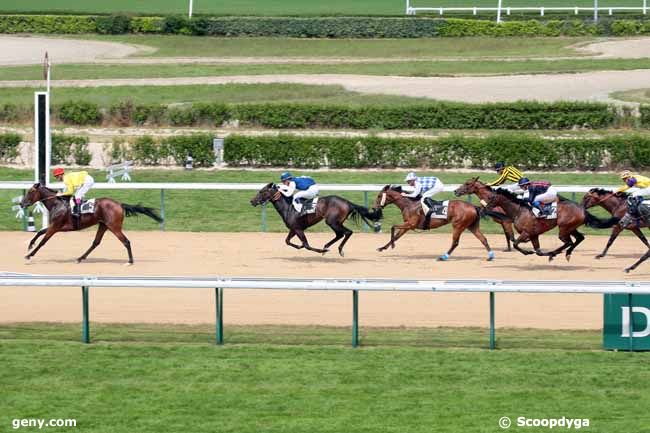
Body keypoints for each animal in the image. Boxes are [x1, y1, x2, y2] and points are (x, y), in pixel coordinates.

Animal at [20, 182, 163, 264]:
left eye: (30, 192)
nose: (21, 203)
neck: (57, 203)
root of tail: (120, 204)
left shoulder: (55, 226)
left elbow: (43, 241)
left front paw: (29, 255)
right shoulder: (55, 226)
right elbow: (39, 232)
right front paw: (30, 244)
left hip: (114, 227)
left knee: (126, 241)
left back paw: (130, 261)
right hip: (103, 225)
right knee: (96, 242)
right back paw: (80, 258)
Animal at [248, 181, 380, 255]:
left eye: (262, 191)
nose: (252, 201)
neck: (288, 207)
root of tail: (347, 202)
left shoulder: (298, 229)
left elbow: (306, 245)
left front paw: (318, 250)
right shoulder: (294, 229)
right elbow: (287, 241)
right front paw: (299, 246)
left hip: (332, 221)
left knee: (347, 232)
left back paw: (337, 249)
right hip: (336, 222)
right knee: (340, 234)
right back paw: (327, 246)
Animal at [454, 178, 616, 262]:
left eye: (467, 184)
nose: (456, 191)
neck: (518, 210)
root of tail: (582, 209)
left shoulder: (525, 232)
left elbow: (516, 242)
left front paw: (527, 252)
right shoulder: (533, 234)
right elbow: (535, 250)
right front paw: (534, 252)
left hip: (563, 228)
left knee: (569, 241)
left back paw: (556, 253)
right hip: (571, 227)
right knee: (579, 238)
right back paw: (563, 253)